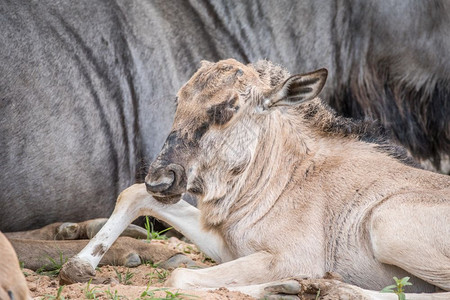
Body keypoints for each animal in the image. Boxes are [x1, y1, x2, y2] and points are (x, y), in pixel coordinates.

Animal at [60, 58, 450, 298]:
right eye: (179, 100)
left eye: (228, 106)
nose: (161, 179)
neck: (285, 176)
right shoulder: (229, 246)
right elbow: (132, 193)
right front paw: (77, 266)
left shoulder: (292, 258)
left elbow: (180, 276)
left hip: (384, 223)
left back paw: (331, 289)